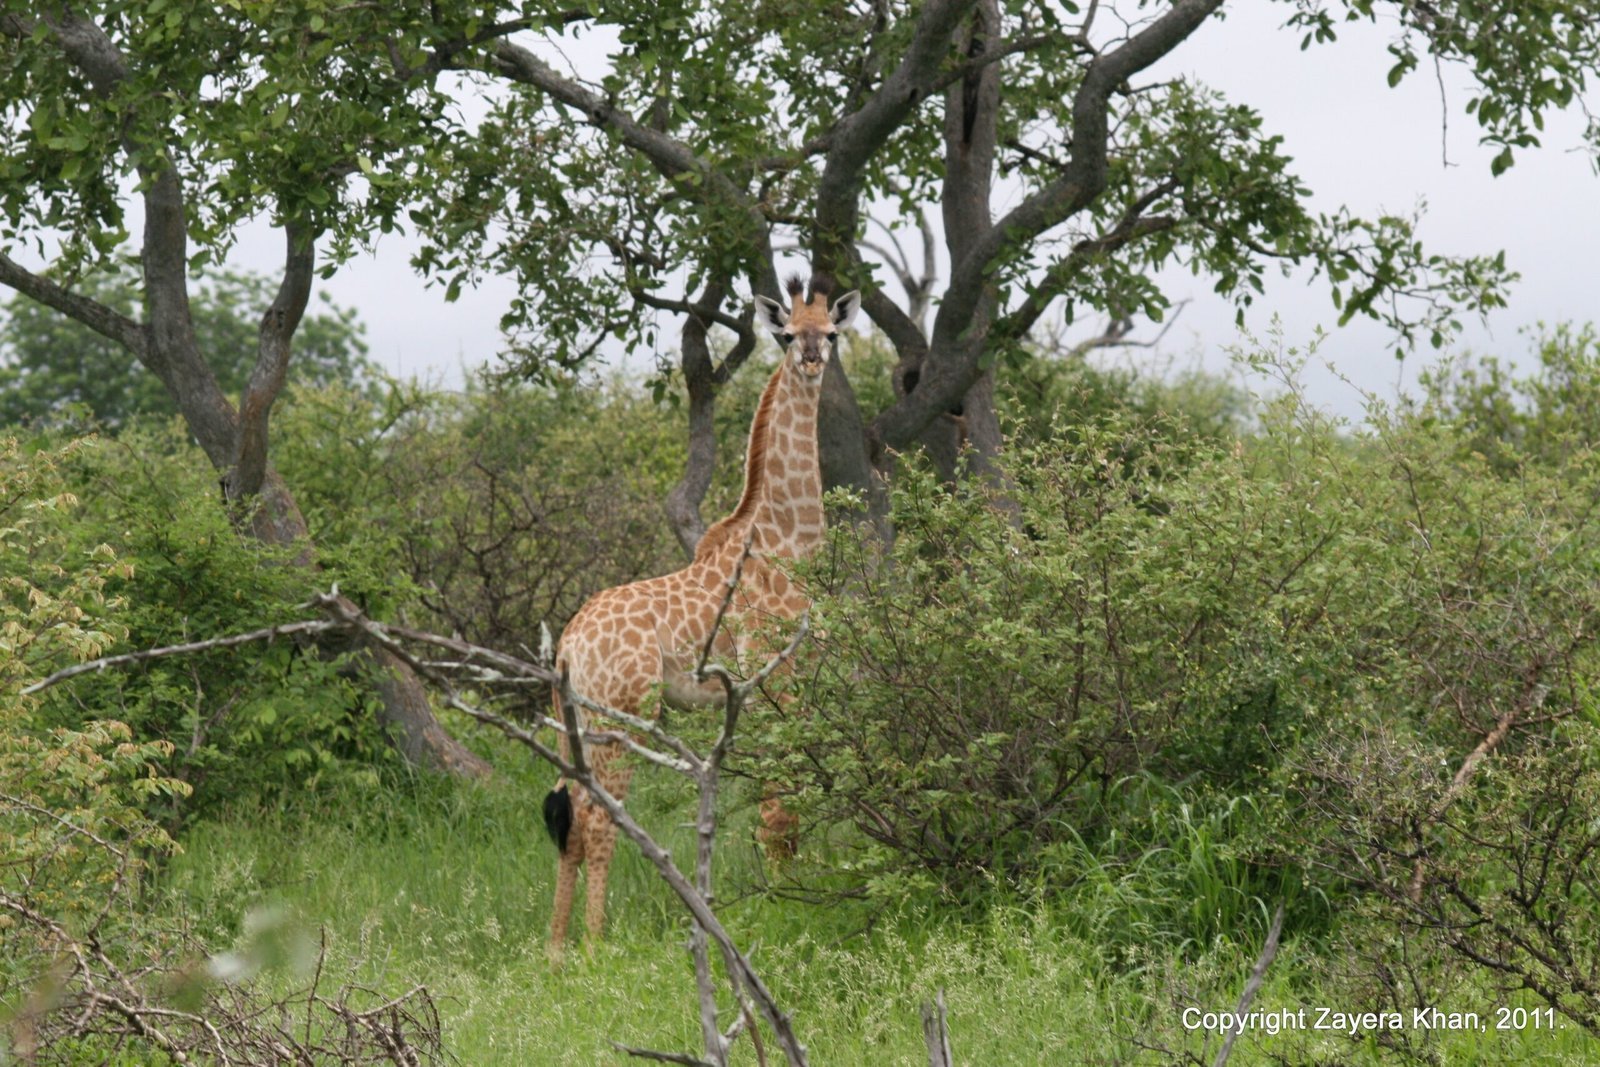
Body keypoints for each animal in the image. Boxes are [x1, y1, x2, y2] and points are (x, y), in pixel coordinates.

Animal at [542, 273, 860, 954]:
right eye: (787, 334)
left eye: (832, 333)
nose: (811, 359)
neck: (787, 539)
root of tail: (569, 646)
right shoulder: (775, 681)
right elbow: (778, 813)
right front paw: (783, 907)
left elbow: (781, 811)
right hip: (625, 715)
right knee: (600, 818)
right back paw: (595, 947)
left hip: (576, 722)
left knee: (569, 818)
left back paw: (555, 952)